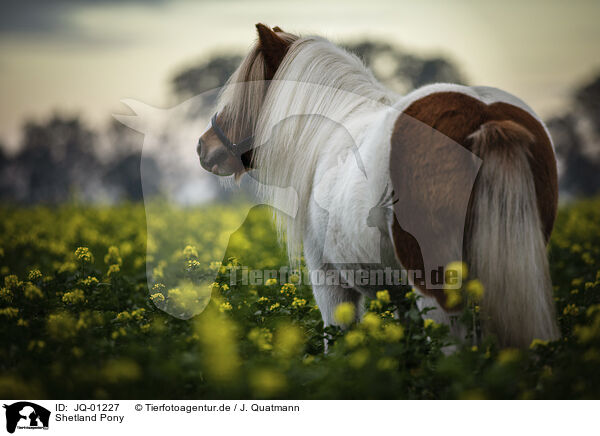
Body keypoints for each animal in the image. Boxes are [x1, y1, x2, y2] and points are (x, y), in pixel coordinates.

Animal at [199, 23, 560, 348]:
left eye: (249, 88)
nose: (204, 146)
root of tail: (483, 114)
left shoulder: (329, 282)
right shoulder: (398, 295)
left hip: (436, 289)